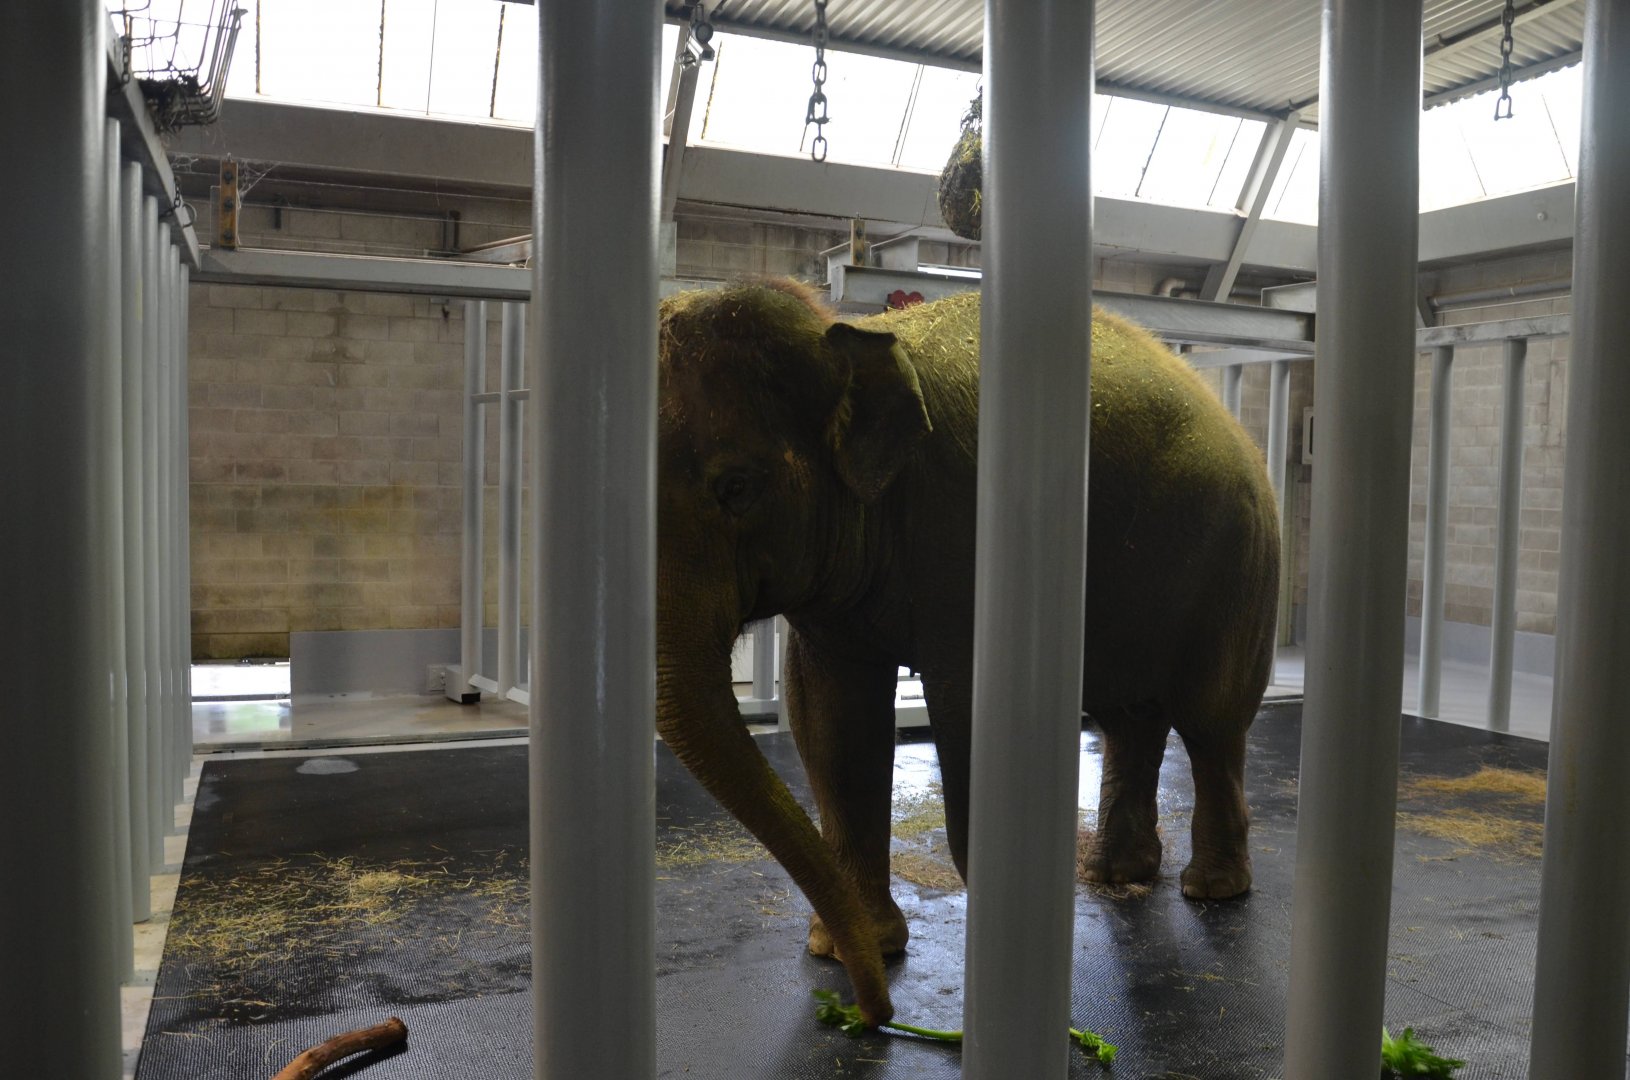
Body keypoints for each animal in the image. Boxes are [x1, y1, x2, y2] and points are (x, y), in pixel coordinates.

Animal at [655, 279, 1280, 1027]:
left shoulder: (966, 525)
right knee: (1130, 718)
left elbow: (967, 708)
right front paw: (847, 949)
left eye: (737, 488)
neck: (848, 339)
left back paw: (1211, 890)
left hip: (1239, 564)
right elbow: (832, 721)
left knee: (1211, 723)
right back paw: (1113, 875)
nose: (875, 1016)